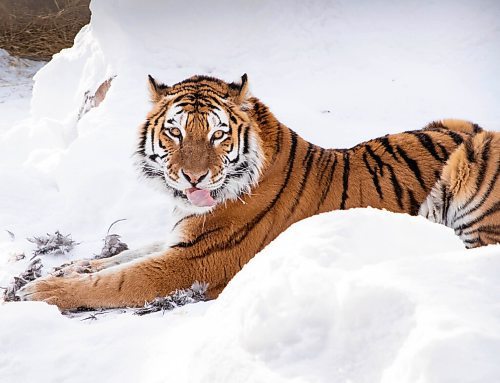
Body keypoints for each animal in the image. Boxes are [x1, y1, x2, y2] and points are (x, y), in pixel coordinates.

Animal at [17, 73, 494, 310]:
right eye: (174, 131)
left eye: (217, 135)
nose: (193, 178)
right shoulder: (180, 238)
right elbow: (124, 256)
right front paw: (68, 268)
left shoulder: (195, 260)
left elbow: (118, 280)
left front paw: (38, 293)